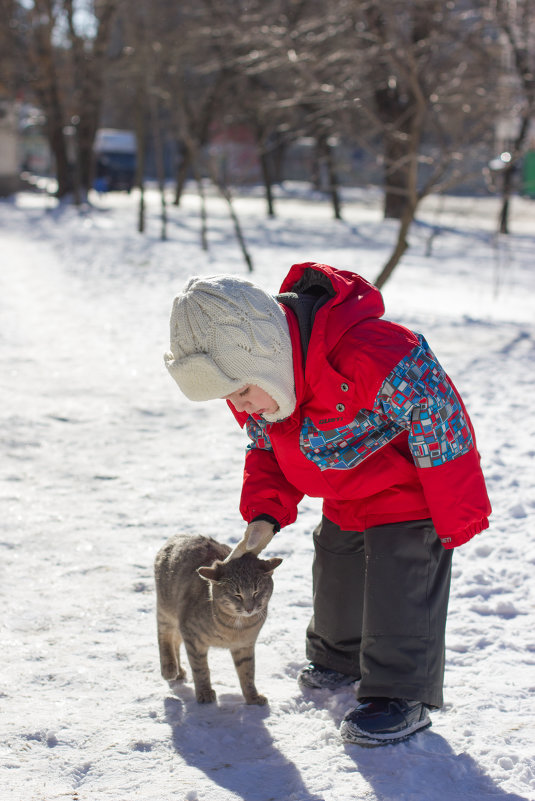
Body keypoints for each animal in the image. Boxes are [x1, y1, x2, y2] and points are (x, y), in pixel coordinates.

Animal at [154, 536, 282, 704]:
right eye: (237, 594)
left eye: (256, 591)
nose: (249, 609)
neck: (236, 627)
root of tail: (179, 536)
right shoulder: (192, 636)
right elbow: (200, 669)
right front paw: (204, 692)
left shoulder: (245, 646)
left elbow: (248, 673)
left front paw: (252, 697)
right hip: (166, 609)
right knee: (165, 636)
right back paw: (169, 668)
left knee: (175, 641)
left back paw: (178, 671)